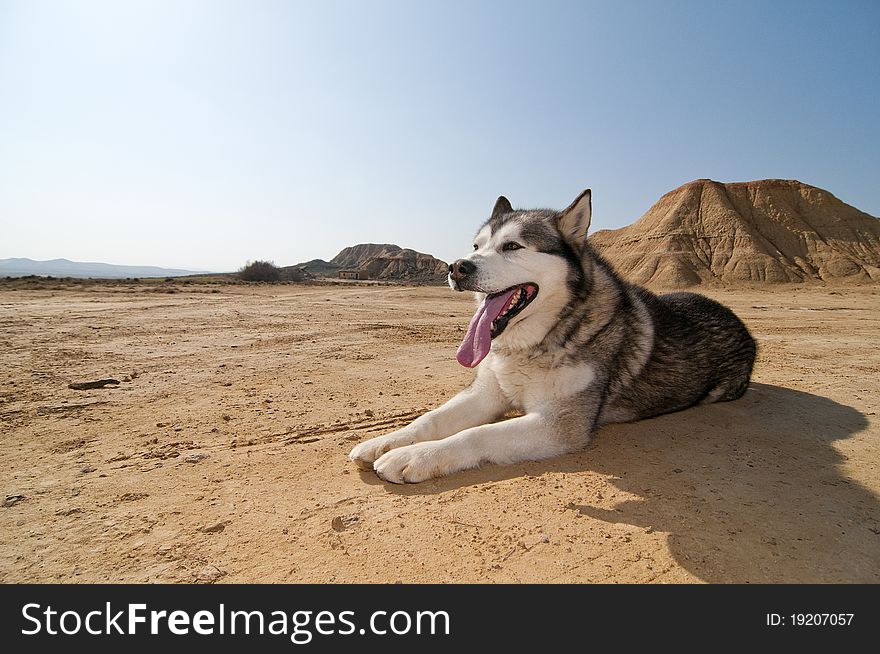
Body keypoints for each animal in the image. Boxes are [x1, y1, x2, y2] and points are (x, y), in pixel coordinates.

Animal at [350, 187, 756, 484]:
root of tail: (741, 323)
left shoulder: (560, 424)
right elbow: (430, 420)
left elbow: (476, 435)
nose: (456, 267)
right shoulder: (487, 393)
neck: (537, 340)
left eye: (512, 246)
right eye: (477, 246)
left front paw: (412, 456)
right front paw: (384, 441)